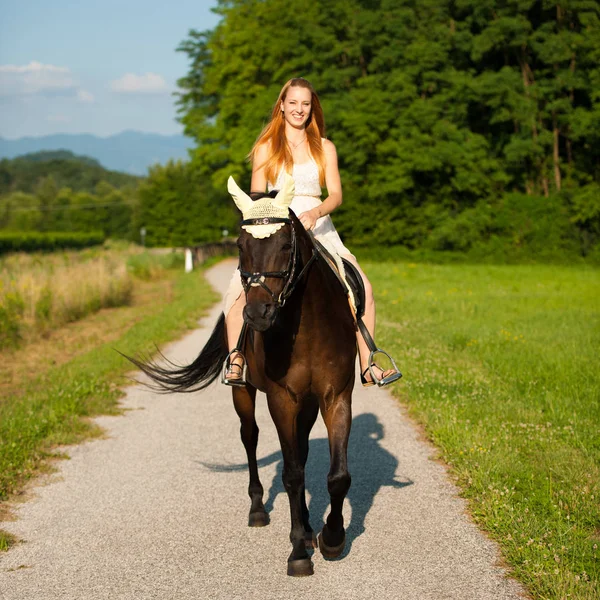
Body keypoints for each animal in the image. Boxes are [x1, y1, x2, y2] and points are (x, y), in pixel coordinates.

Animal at [127, 179, 356, 576]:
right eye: (239, 245)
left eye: (285, 245)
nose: (257, 313)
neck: (309, 326)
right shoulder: (281, 398)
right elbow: (292, 474)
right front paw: (298, 552)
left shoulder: (335, 396)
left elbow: (336, 475)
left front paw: (331, 538)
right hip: (244, 393)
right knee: (250, 438)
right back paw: (259, 511)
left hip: (308, 403)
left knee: (300, 448)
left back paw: (309, 526)